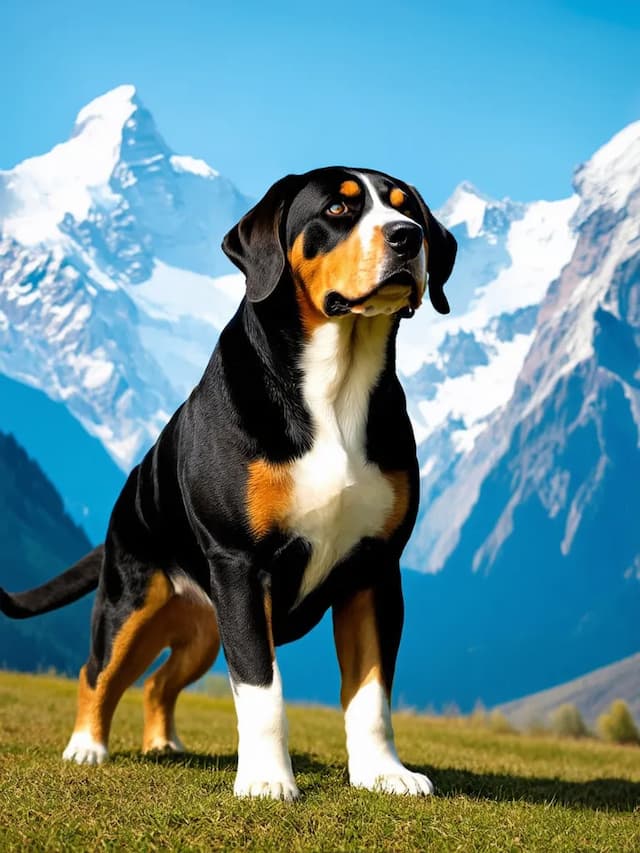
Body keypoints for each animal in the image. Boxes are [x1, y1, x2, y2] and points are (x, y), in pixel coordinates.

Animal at [2, 166, 458, 800]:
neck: (334, 388)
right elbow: (263, 692)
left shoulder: (374, 570)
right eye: (338, 211)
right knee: (98, 671)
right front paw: (267, 781)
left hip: (200, 629)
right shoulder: (243, 567)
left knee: (158, 682)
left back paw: (163, 744)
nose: (407, 237)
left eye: (405, 208)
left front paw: (383, 774)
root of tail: (131, 485)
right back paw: (86, 747)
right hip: (135, 600)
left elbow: (371, 693)